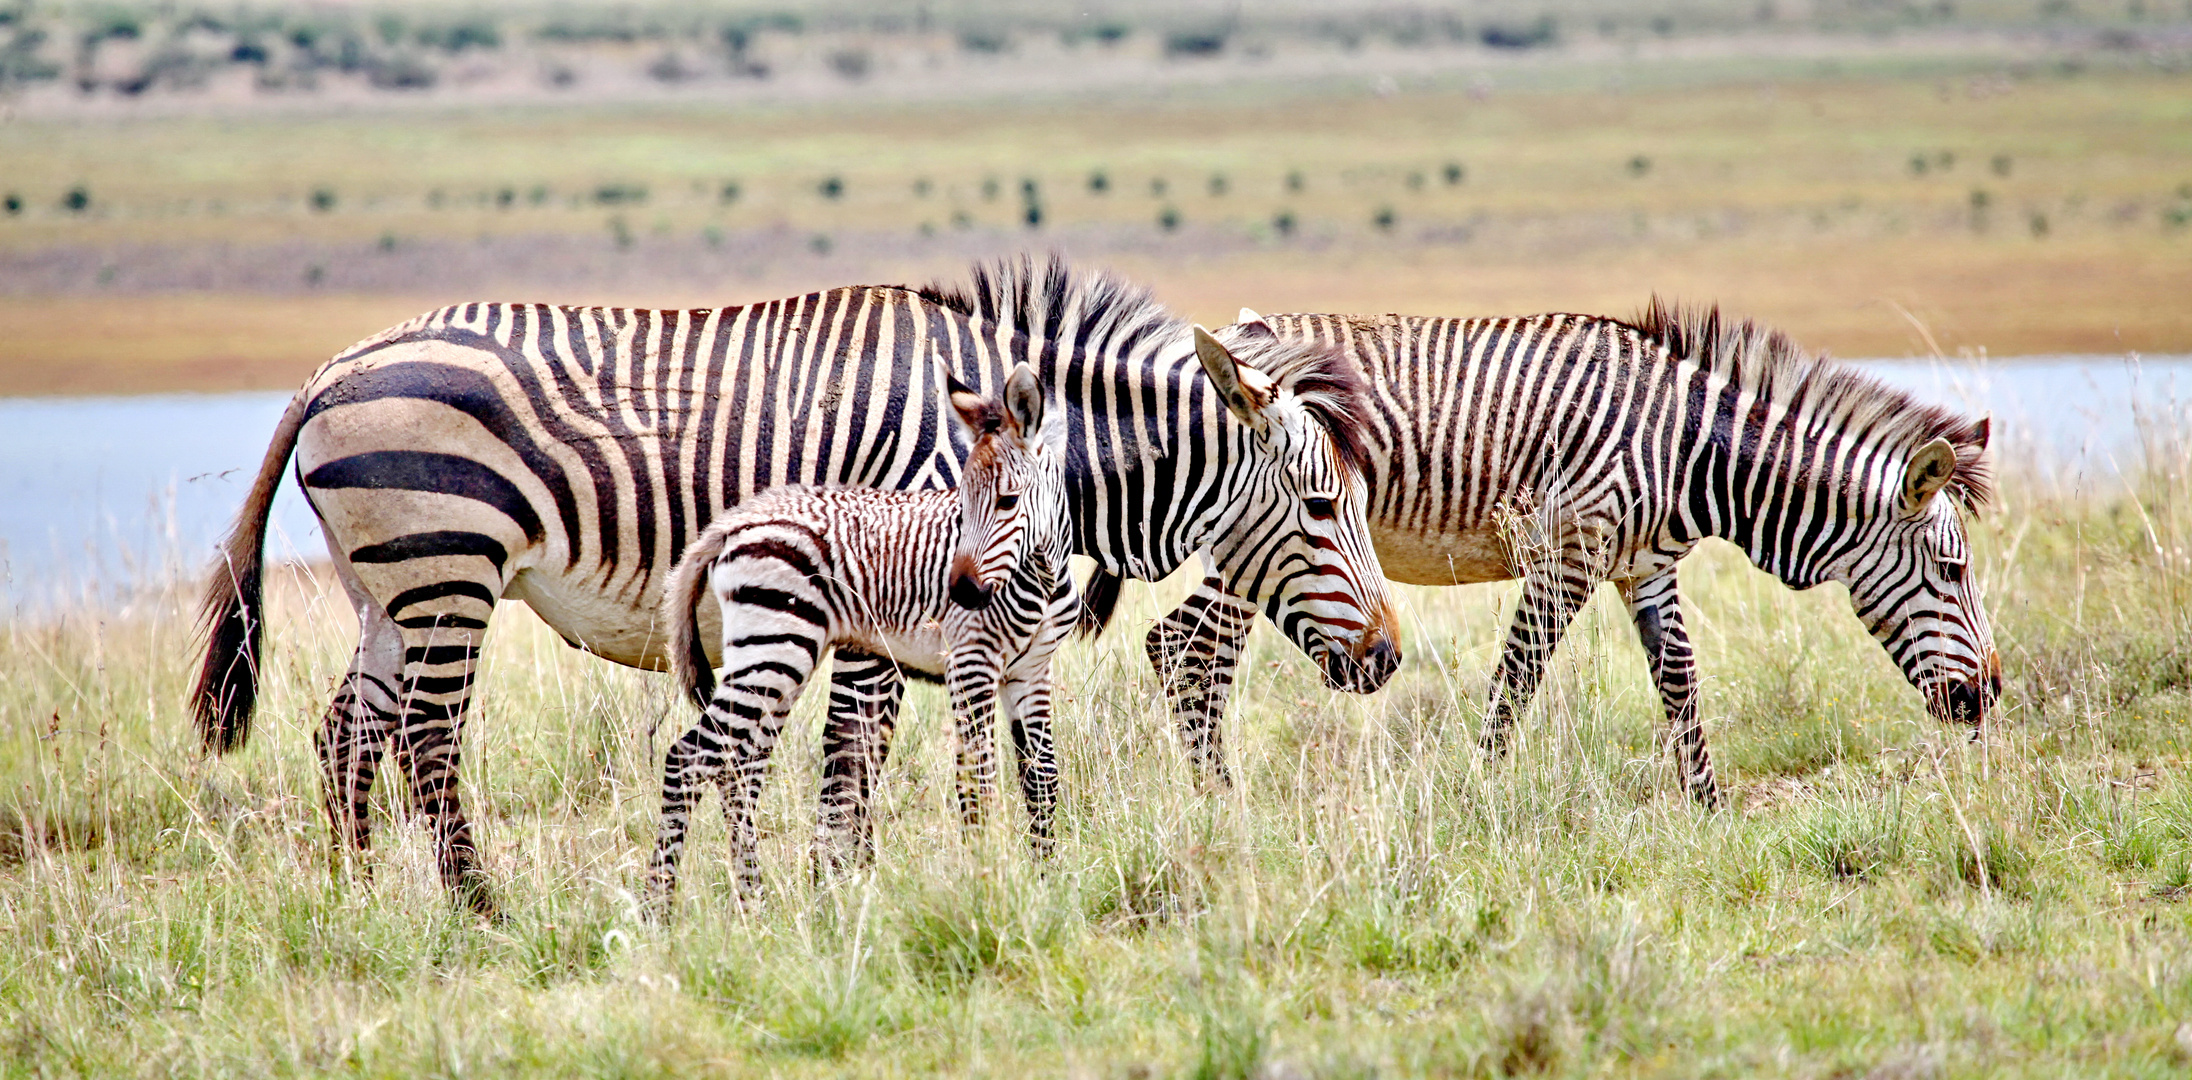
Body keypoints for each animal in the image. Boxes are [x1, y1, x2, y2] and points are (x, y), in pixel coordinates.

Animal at [648, 361, 1078, 902]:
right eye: (961, 505)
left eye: (1007, 501)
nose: (959, 593)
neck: (1041, 575)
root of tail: (736, 521)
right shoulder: (972, 663)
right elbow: (977, 780)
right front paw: (986, 882)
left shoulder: (1032, 672)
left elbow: (1042, 779)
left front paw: (1047, 882)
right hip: (775, 651)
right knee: (687, 759)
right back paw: (658, 907)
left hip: (774, 659)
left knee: (736, 766)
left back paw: (754, 902)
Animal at [1104, 297, 1999, 806]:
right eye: (1953, 572)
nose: (1988, 695)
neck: (1692, 452)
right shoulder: (1569, 549)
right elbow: (1518, 677)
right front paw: (1480, 795)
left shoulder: (1646, 564)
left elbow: (1679, 681)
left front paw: (1709, 809)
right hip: (1267, 544)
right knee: (1186, 647)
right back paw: (1220, 804)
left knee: (1181, 645)